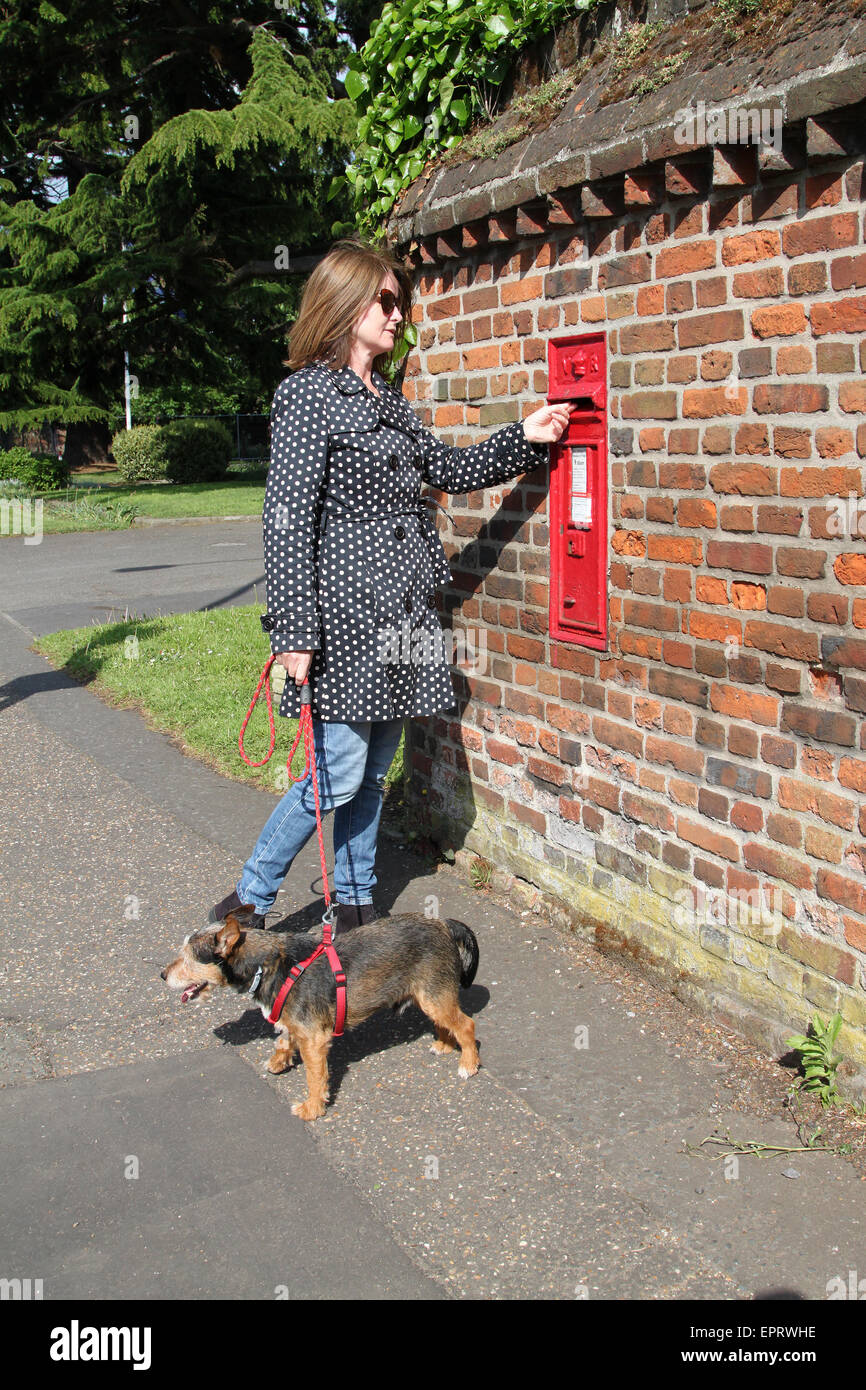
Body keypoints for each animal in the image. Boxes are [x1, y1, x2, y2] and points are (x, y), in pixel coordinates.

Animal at [162, 911, 480, 1117]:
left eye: (188, 959)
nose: (162, 974)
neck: (269, 963)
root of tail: (443, 924)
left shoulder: (314, 1040)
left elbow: (315, 1078)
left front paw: (312, 1109)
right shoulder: (296, 1024)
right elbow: (284, 1038)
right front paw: (279, 1060)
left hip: (434, 998)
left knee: (466, 1025)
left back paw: (468, 1063)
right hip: (431, 997)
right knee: (446, 1023)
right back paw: (444, 1045)